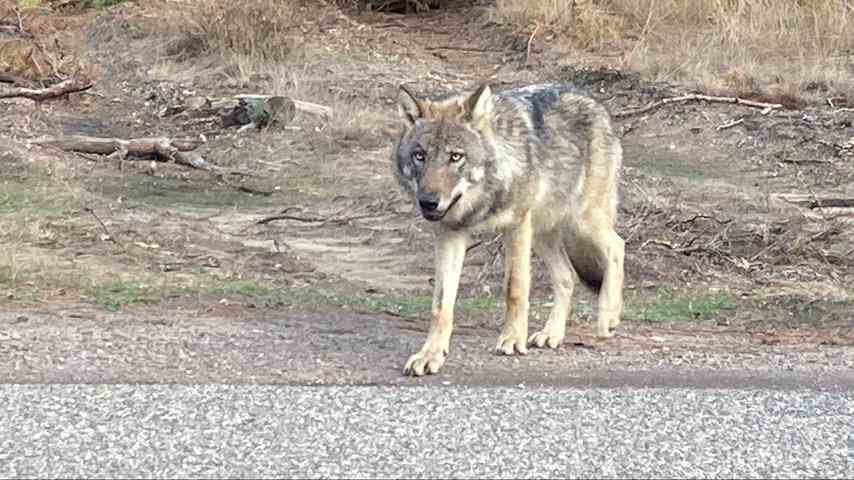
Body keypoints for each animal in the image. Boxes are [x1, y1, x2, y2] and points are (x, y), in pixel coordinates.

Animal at [392, 81, 624, 376]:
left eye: (455, 156)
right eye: (420, 156)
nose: (428, 202)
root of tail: (594, 101)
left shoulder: (516, 225)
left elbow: (515, 287)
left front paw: (512, 339)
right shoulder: (450, 234)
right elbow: (441, 304)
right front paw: (430, 354)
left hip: (581, 221)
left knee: (617, 246)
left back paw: (608, 317)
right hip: (543, 233)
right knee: (566, 276)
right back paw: (552, 334)